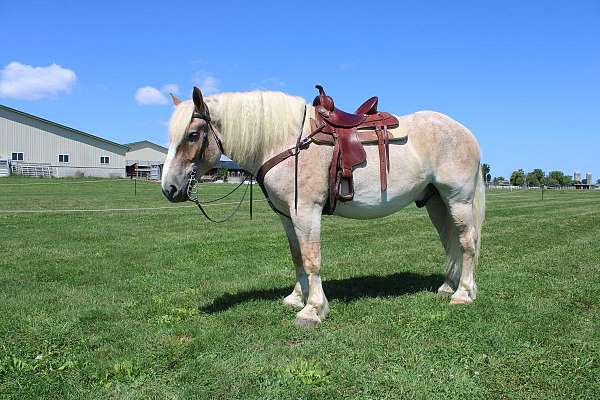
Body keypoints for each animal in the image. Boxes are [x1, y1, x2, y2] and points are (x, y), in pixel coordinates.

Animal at [162, 86, 486, 326]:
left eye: (192, 135)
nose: (169, 189)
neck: (286, 142)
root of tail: (466, 132)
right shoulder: (287, 215)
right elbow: (296, 257)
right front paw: (296, 298)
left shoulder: (306, 212)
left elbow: (311, 259)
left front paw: (312, 309)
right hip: (436, 202)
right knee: (449, 243)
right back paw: (447, 287)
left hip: (457, 200)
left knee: (466, 242)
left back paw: (463, 293)